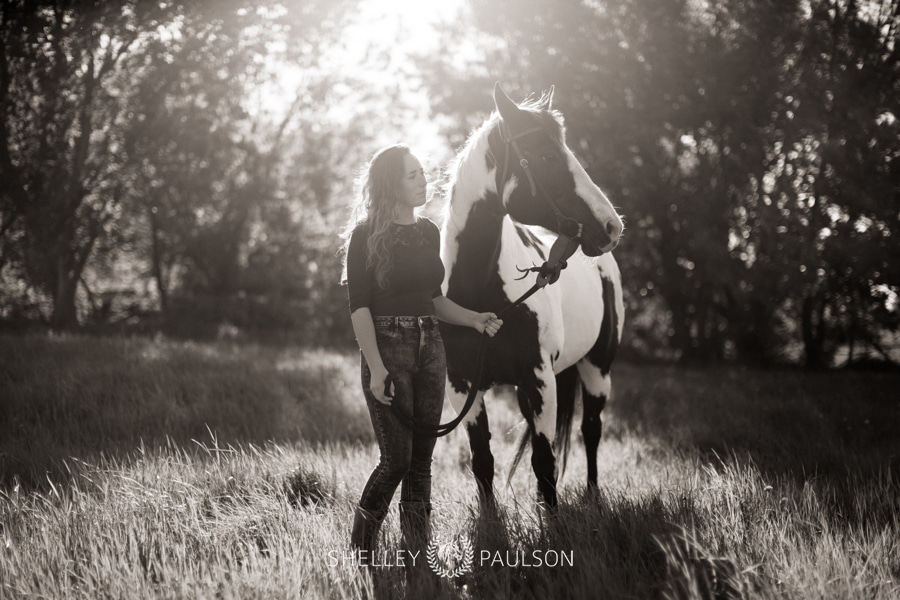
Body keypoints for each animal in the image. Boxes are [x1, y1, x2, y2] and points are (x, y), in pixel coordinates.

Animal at [438, 82, 624, 508]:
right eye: (547, 156)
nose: (612, 226)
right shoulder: (462, 386)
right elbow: (482, 461)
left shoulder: (539, 379)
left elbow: (544, 463)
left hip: (597, 369)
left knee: (591, 430)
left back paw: (593, 494)